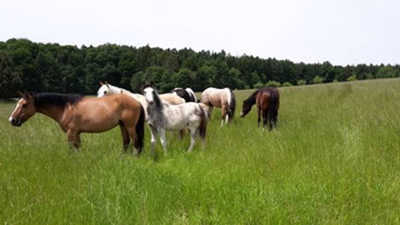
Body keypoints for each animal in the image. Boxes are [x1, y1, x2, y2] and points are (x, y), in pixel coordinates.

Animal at [9, 92, 145, 153]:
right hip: (122, 125)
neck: (65, 108)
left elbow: (71, 148)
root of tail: (137, 102)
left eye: (24, 105)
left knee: (136, 141)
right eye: (18, 103)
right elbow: (78, 148)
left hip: (130, 126)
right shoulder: (77, 133)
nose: (12, 120)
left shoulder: (71, 132)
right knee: (126, 141)